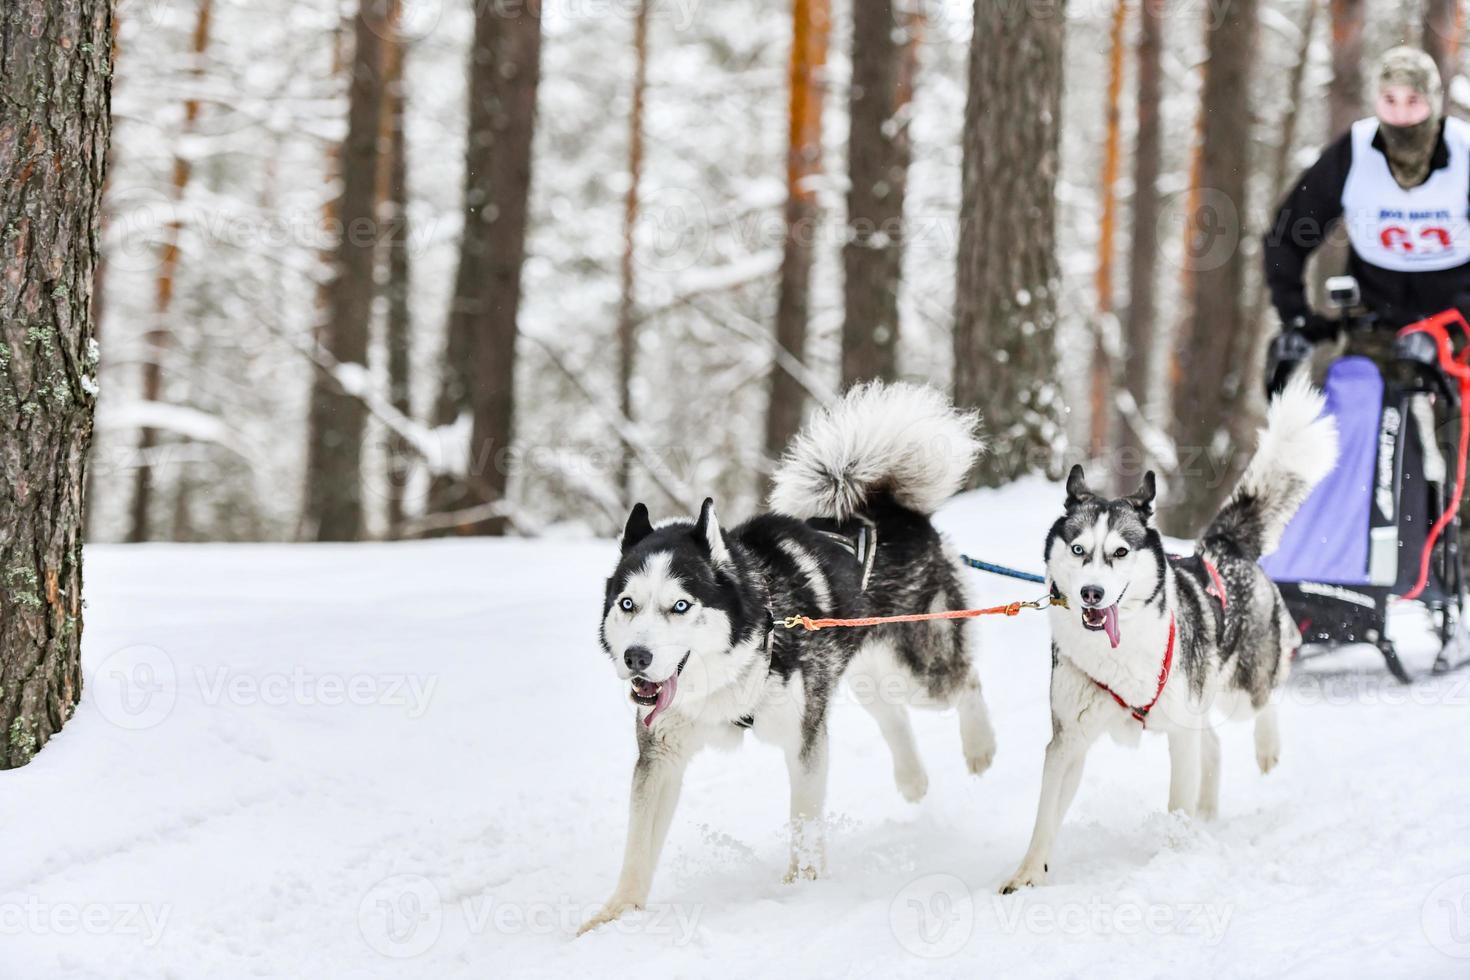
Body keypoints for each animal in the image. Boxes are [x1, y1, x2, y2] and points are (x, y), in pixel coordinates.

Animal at [576, 382, 999, 934]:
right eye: (628, 604)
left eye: (680, 605)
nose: (636, 657)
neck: (729, 673)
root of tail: (895, 510)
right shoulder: (661, 756)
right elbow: (637, 849)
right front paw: (616, 914)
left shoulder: (804, 739)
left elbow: (803, 818)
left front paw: (804, 886)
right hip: (864, 673)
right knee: (891, 715)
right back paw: (912, 779)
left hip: (919, 671)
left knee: (965, 680)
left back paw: (980, 748)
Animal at [1005, 379, 1340, 899]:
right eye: (1078, 550)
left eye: (1120, 552)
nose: (1092, 592)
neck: (1118, 654)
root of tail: (1221, 547)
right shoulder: (1068, 742)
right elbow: (1045, 817)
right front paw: (1028, 873)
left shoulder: (1179, 732)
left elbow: (1176, 802)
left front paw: (1175, 858)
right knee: (1214, 746)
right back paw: (1207, 816)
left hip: (1239, 689)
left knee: (1265, 698)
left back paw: (1265, 748)